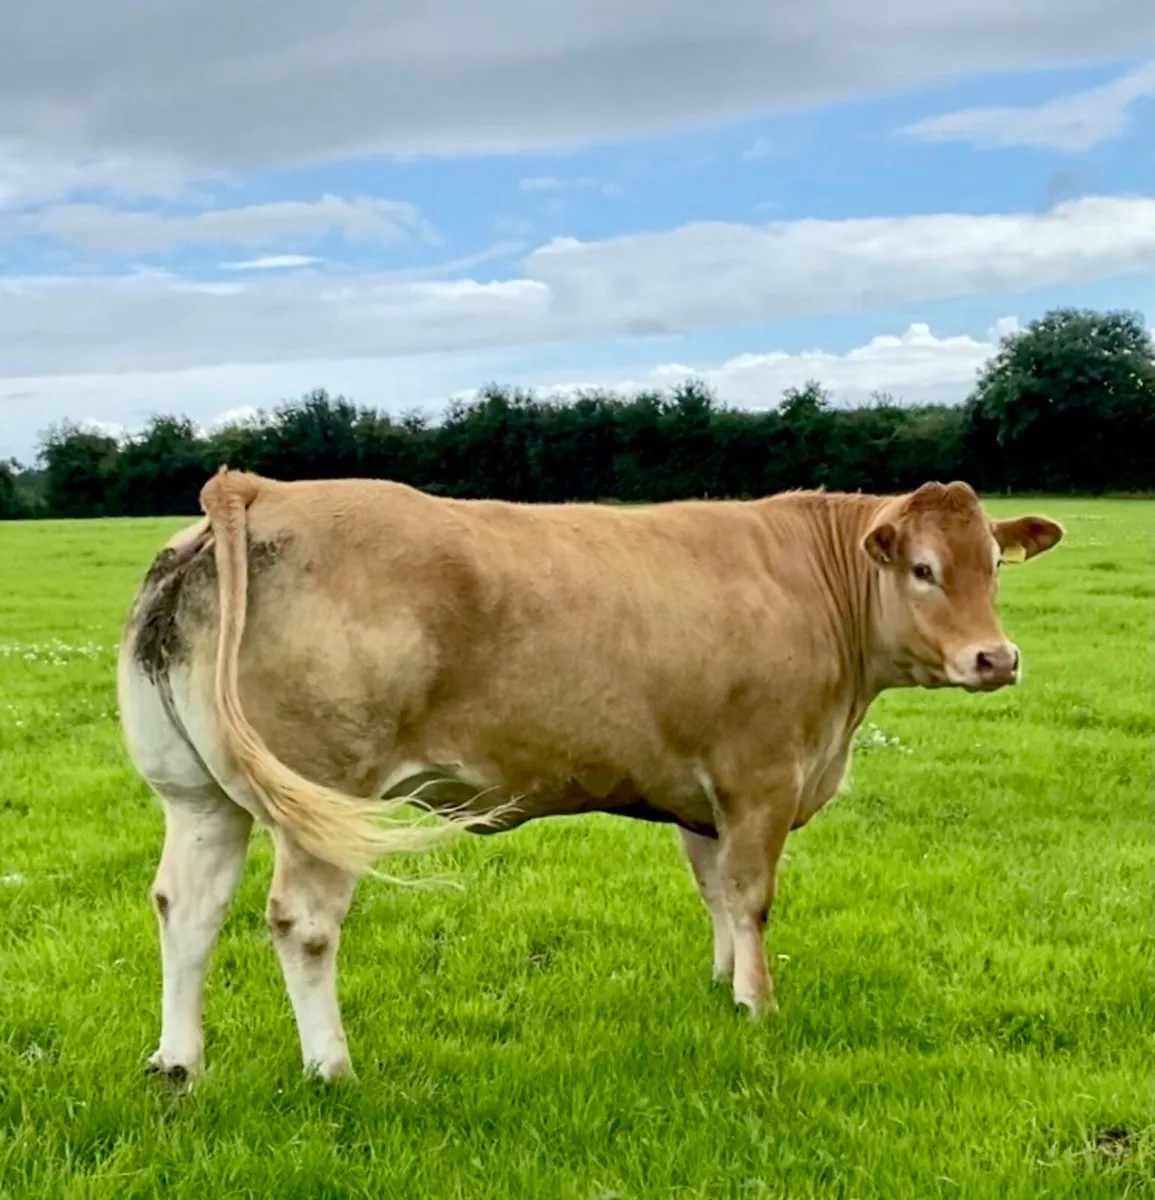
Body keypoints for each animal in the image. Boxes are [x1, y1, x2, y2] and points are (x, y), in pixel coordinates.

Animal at [116, 468, 1063, 1083]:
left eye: (993, 565)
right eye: (922, 569)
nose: (996, 658)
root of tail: (260, 489)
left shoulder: (701, 794)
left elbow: (716, 893)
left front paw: (720, 986)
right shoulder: (760, 774)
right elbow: (753, 896)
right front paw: (757, 1005)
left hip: (195, 794)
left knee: (186, 907)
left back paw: (177, 1062)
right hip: (325, 793)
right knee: (302, 923)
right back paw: (331, 1067)